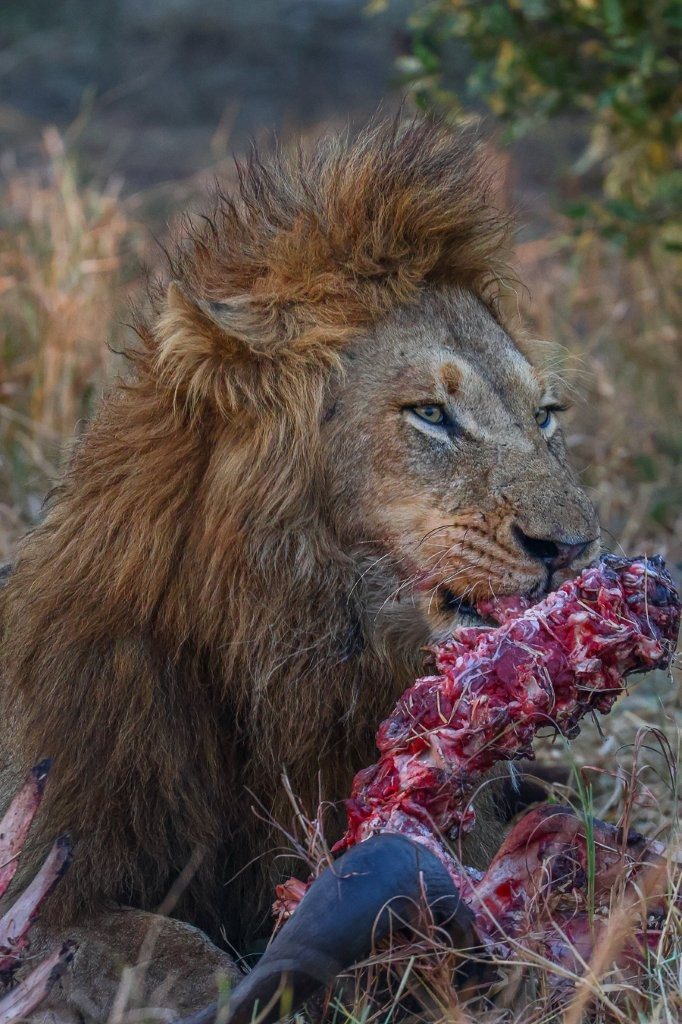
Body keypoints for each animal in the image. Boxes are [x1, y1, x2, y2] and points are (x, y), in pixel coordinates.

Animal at [0, 117, 599, 1013]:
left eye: (546, 416)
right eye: (430, 413)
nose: (571, 547)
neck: (289, 655)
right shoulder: (46, 864)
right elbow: (162, 945)